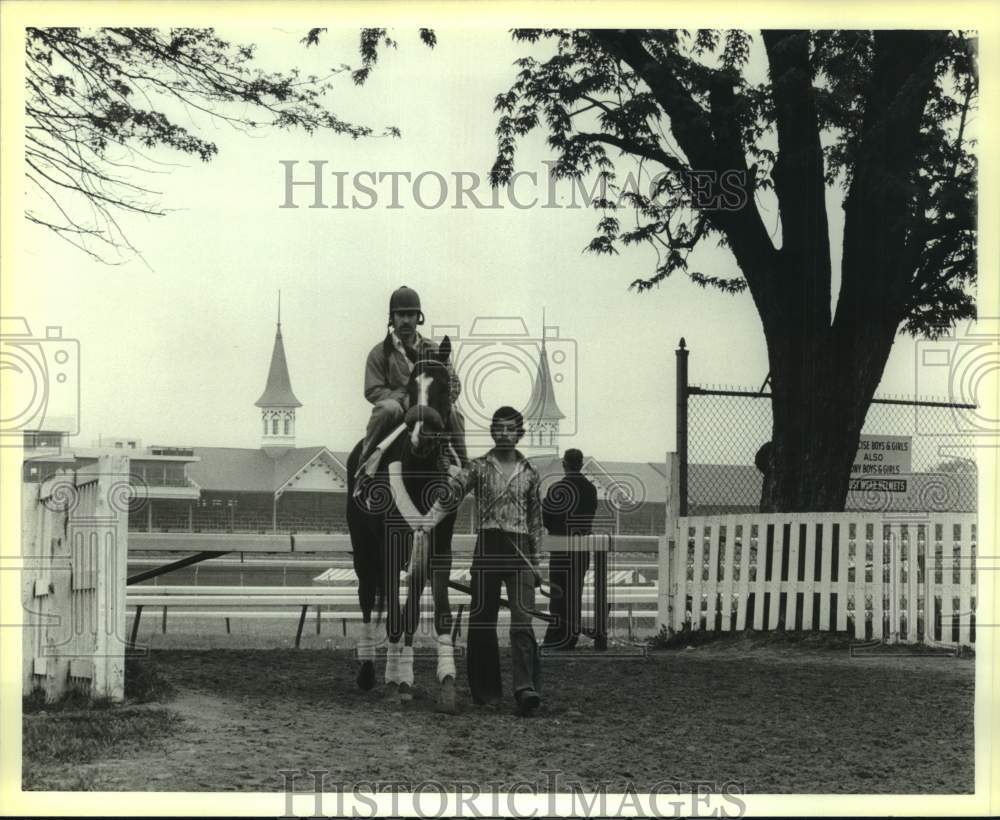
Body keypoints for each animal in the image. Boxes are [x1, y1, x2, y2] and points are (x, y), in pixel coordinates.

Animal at [346, 336, 462, 716]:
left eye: (444, 387)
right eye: (412, 387)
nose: (422, 437)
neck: (421, 472)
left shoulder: (439, 549)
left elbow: (436, 614)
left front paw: (446, 684)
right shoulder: (391, 546)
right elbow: (393, 615)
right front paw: (393, 684)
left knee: (408, 608)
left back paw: (405, 677)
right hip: (365, 553)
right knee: (367, 600)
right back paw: (370, 672)